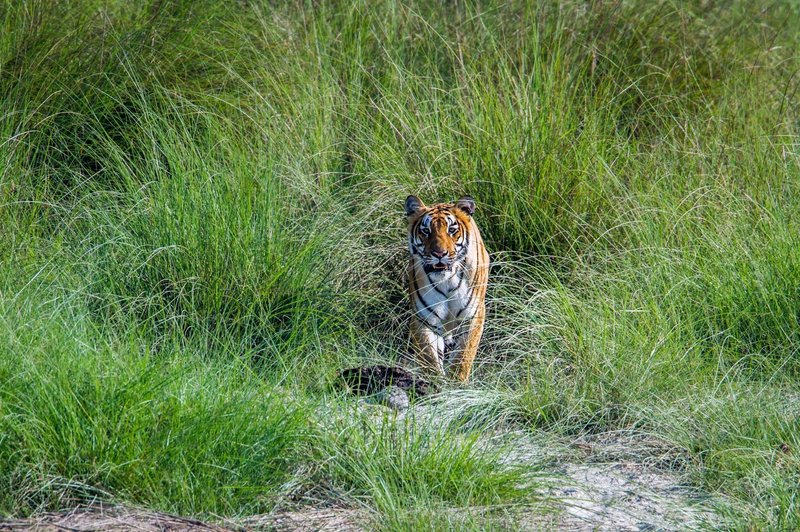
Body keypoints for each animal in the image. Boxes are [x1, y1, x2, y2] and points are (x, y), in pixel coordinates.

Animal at [404, 195, 490, 382]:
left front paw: (457, 384)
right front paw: (435, 383)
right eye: (426, 231)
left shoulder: (473, 316)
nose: (439, 254)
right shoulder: (424, 319)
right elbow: (429, 358)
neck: (447, 281)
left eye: (451, 230)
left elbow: (463, 356)